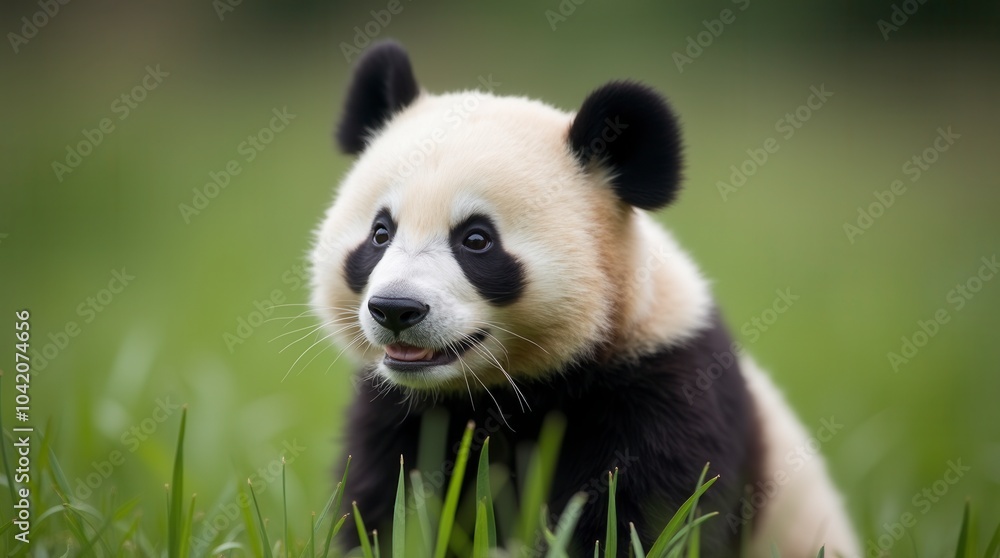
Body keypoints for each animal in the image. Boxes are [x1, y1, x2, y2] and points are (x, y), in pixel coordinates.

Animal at [309, 40, 859, 557]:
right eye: (380, 233)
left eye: (476, 240)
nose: (396, 310)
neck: (509, 385)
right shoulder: (400, 407)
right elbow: (389, 501)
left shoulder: (664, 383)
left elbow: (645, 513)